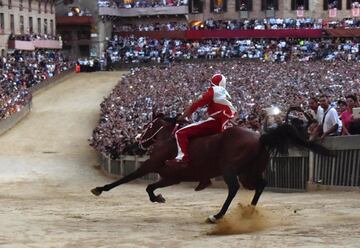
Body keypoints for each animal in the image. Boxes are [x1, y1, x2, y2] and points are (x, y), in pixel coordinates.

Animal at [90, 114, 332, 223]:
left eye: (149, 125)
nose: (138, 141)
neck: (170, 139)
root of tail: (260, 137)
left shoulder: (152, 164)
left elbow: (127, 179)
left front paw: (100, 189)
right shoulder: (171, 177)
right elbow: (150, 188)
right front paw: (159, 197)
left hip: (230, 168)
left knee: (233, 188)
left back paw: (218, 215)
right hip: (249, 172)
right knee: (261, 184)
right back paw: (249, 211)